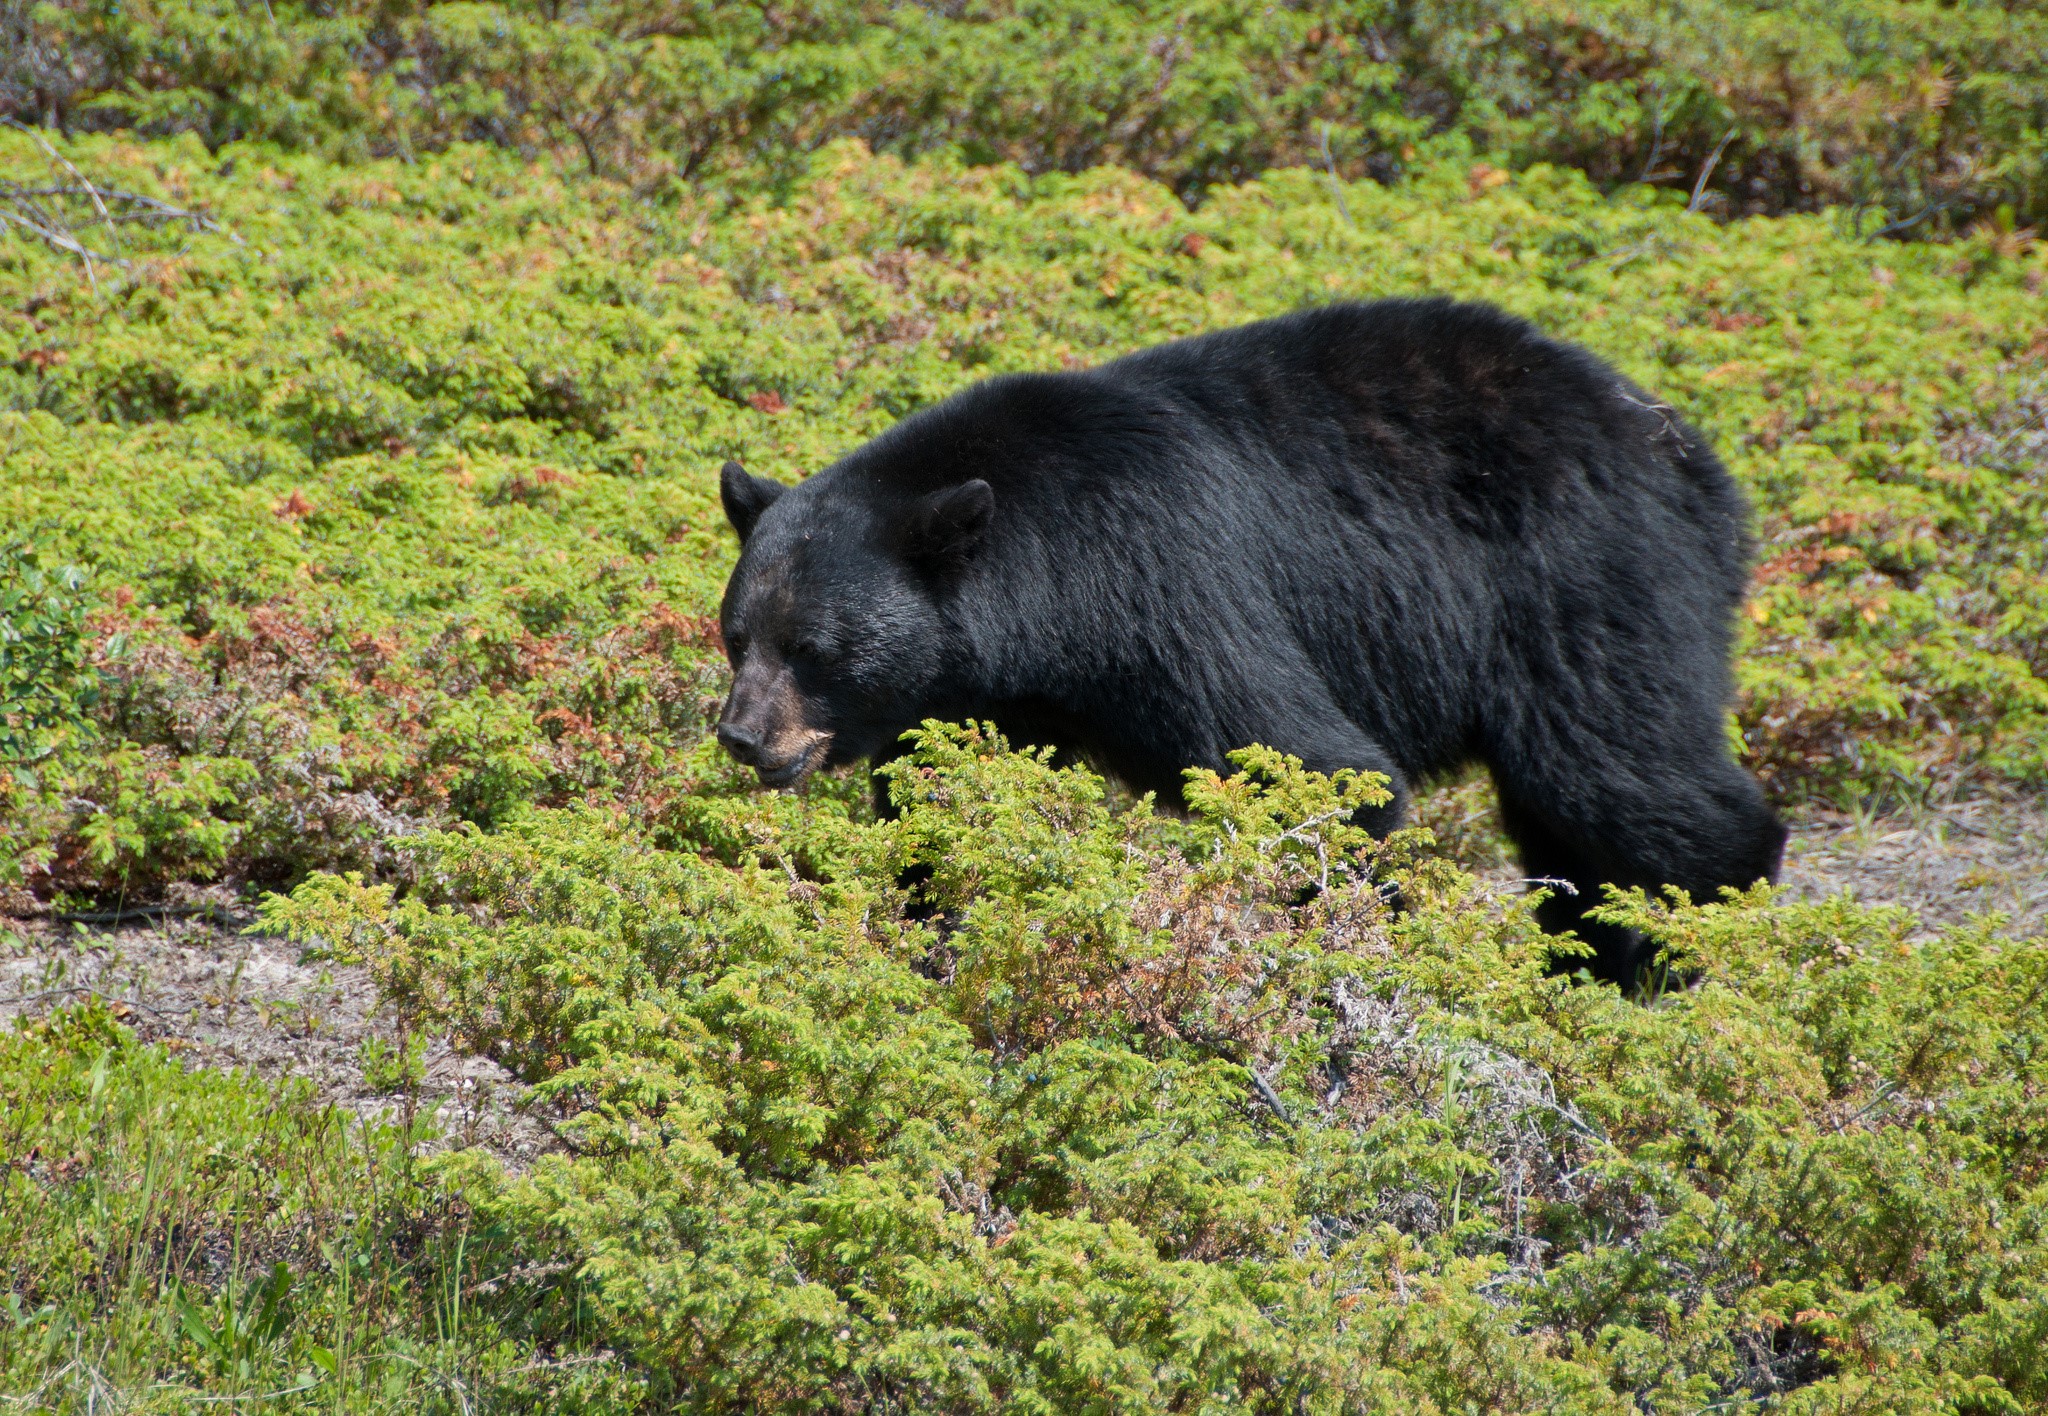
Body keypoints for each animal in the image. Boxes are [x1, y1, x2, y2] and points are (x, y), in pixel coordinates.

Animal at [713, 298, 1785, 983]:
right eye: (737, 637)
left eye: (815, 648)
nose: (742, 736)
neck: (1043, 596)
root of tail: (1687, 453)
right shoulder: (984, 698)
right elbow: (949, 807)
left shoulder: (1165, 584)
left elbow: (1308, 766)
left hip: (1583, 577)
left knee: (1617, 768)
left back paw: (1679, 953)